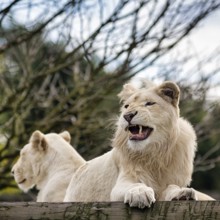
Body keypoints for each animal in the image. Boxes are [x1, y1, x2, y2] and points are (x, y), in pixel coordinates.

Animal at [64, 81, 215, 208]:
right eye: (126, 106)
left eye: (149, 103)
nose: (127, 115)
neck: (155, 152)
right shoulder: (122, 182)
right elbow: (135, 184)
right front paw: (139, 194)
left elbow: (171, 187)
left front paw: (182, 194)